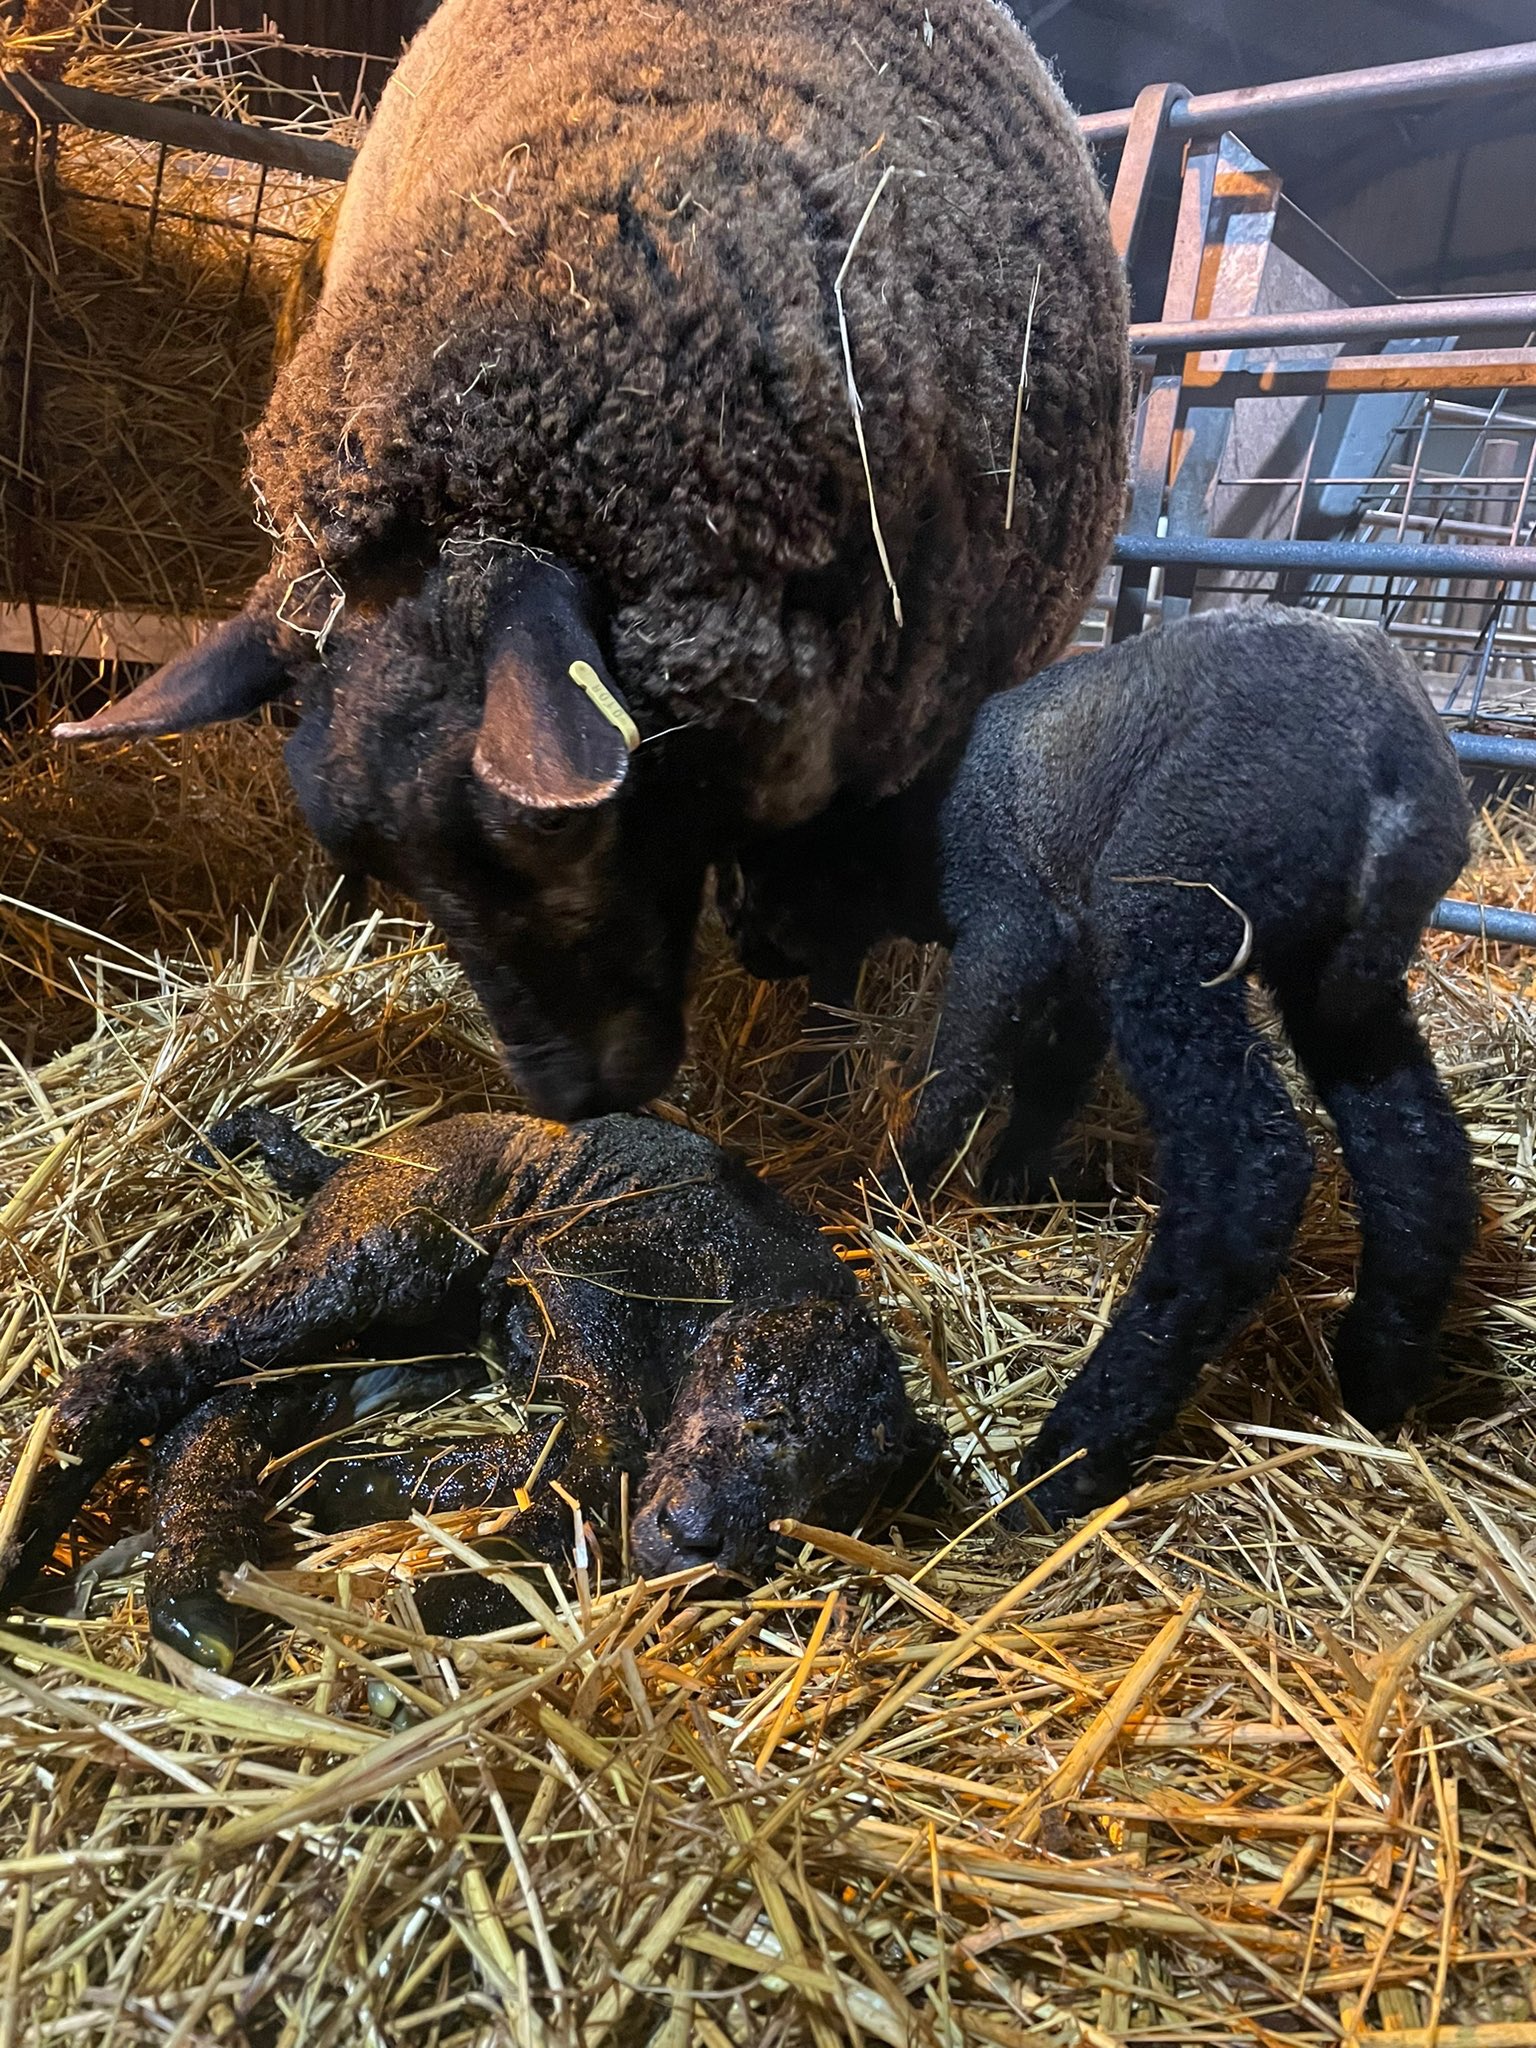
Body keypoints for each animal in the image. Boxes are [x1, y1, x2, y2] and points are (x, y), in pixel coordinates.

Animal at [1, 1107, 938, 1669]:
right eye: (766, 1417)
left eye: (831, 1507)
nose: (700, 1545)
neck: (748, 1278)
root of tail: (357, 1156)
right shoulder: (581, 1264)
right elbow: (612, 1431)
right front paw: (445, 1589)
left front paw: (391, 1513)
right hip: (390, 1243)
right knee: (169, 1358)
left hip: (411, 1317)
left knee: (246, 1400)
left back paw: (205, 1577)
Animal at [727, 606, 1478, 1525]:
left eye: (761, 880)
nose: (744, 950)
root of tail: (1398, 753)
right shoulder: (1076, 956)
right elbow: (1052, 1076)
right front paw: (1010, 1185)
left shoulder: (1013, 917)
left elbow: (960, 1068)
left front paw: (893, 1192)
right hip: (1335, 981)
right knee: (1415, 1152)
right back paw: (1380, 1375)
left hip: (1172, 905)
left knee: (1245, 1182)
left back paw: (1069, 1461)